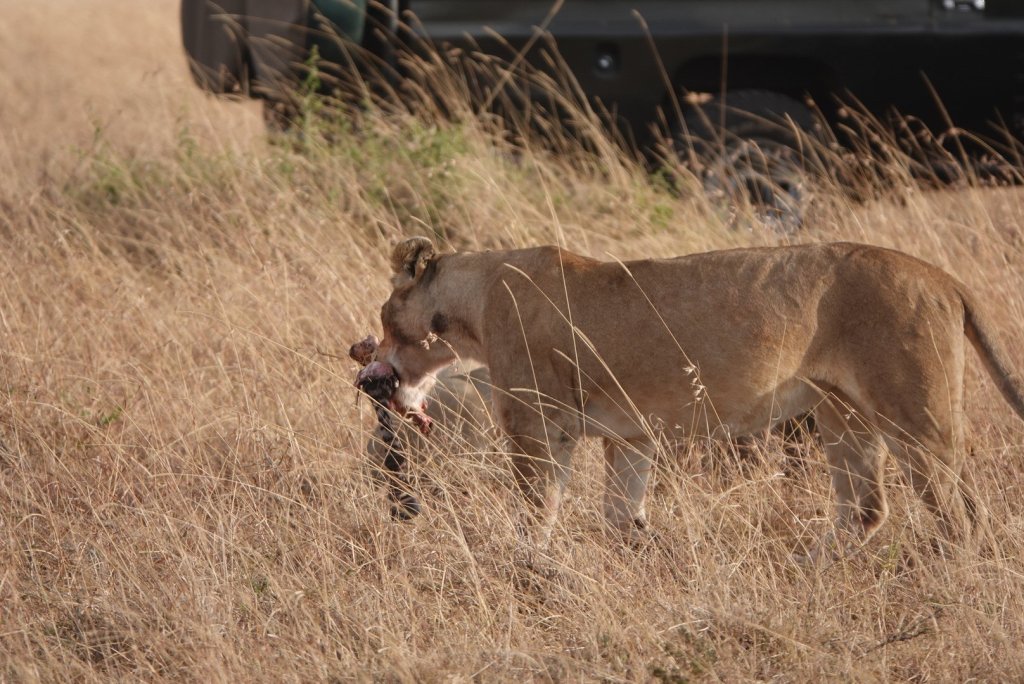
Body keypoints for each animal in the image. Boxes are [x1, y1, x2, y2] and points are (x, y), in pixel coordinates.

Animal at [367, 236, 1024, 560]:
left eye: (384, 315)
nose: (369, 364)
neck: (472, 305)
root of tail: (944, 278)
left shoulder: (537, 426)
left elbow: (537, 512)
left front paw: (526, 567)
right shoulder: (630, 437)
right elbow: (621, 516)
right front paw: (648, 559)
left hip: (914, 414)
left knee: (962, 517)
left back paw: (947, 577)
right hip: (842, 413)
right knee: (865, 508)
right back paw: (805, 568)